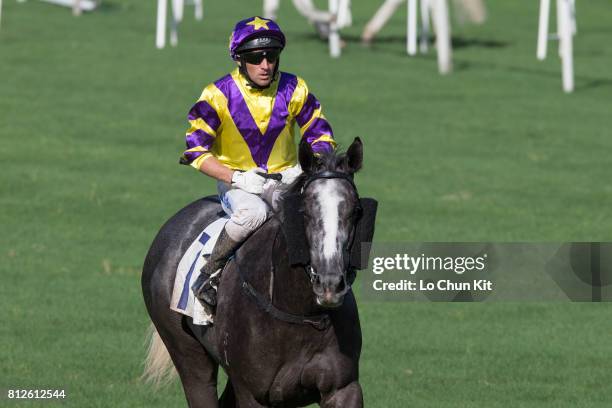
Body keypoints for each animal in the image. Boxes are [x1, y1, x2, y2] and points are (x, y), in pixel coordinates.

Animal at [141, 139, 376, 406]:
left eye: (356, 211)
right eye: (304, 211)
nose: (329, 284)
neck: (300, 312)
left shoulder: (343, 388)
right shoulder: (253, 393)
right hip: (187, 352)